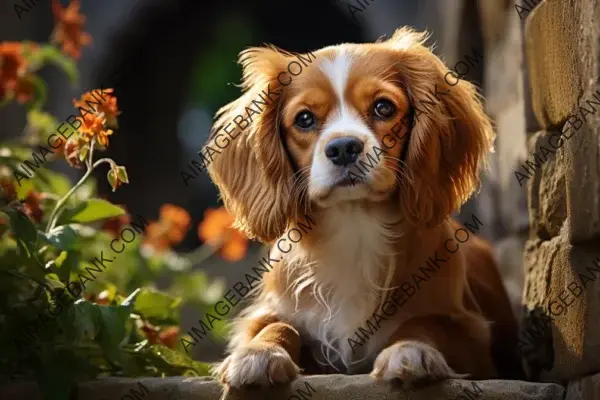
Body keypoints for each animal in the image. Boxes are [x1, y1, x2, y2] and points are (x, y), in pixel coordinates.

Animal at [206, 27, 520, 388]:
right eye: (304, 119)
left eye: (383, 107)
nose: (343, 147)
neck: (355, 223)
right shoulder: (268, 312)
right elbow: (276, 325)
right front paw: (259, 353)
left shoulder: (471, 336)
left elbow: (425, 323)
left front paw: (409, 351)